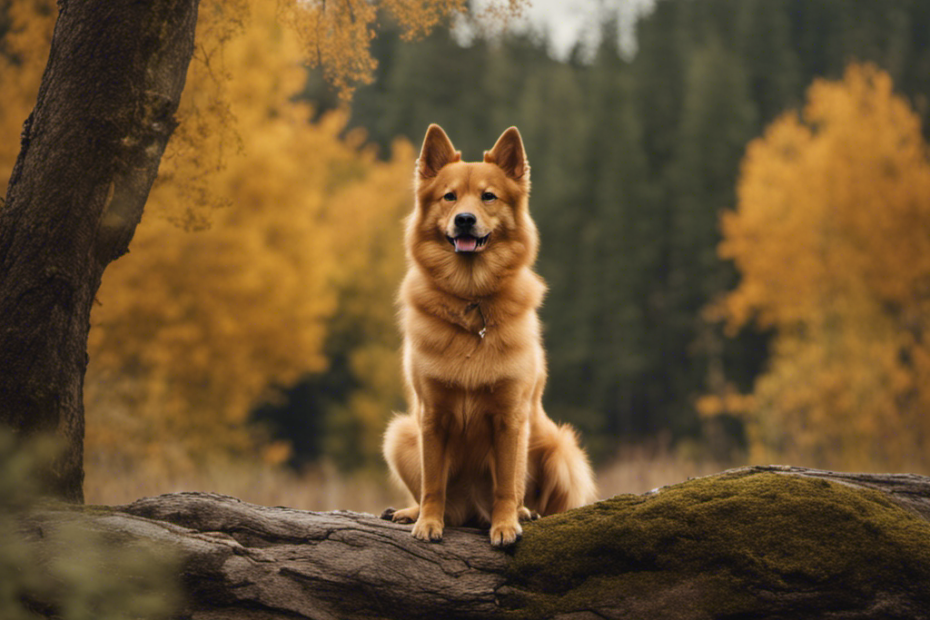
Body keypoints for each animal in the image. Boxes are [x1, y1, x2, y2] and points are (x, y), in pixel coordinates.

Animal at [382, 123, 596, 544]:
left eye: (488, 196)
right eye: (449, 196)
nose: (464, 219)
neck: (471, 298)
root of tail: (469, 512)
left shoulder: (509, 417)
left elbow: (506, 484)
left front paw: (506, 524)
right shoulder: (430, 417)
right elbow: (433, 482)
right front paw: (428, 522)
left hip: (561, 449)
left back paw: (526, 512)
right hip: (400, 433)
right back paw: (411, 512)